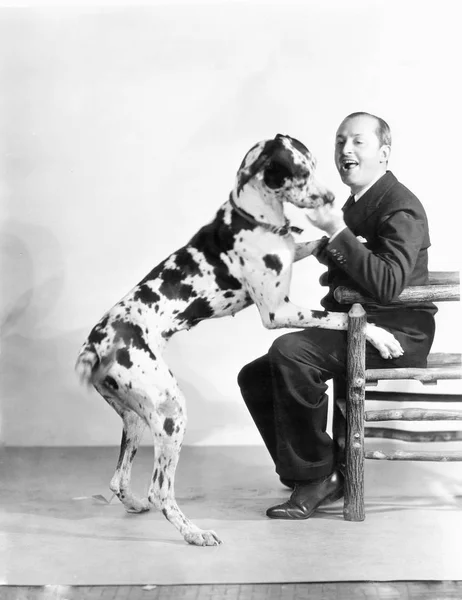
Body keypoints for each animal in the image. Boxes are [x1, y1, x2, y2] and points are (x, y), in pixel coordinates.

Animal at [75, 134, 400, 548]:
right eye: (302, 172)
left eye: (316, 164)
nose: (329, 196)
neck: (257, 217)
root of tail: (96, 342)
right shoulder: (278, 311)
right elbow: (340, 317)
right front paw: (382, 335)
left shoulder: (291, 257)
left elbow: (317, 242)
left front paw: (346, 239)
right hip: (170, 412)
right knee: (160, 490)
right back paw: (194, 533)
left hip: (135, 418)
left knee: (118, 479)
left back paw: (134, 505)